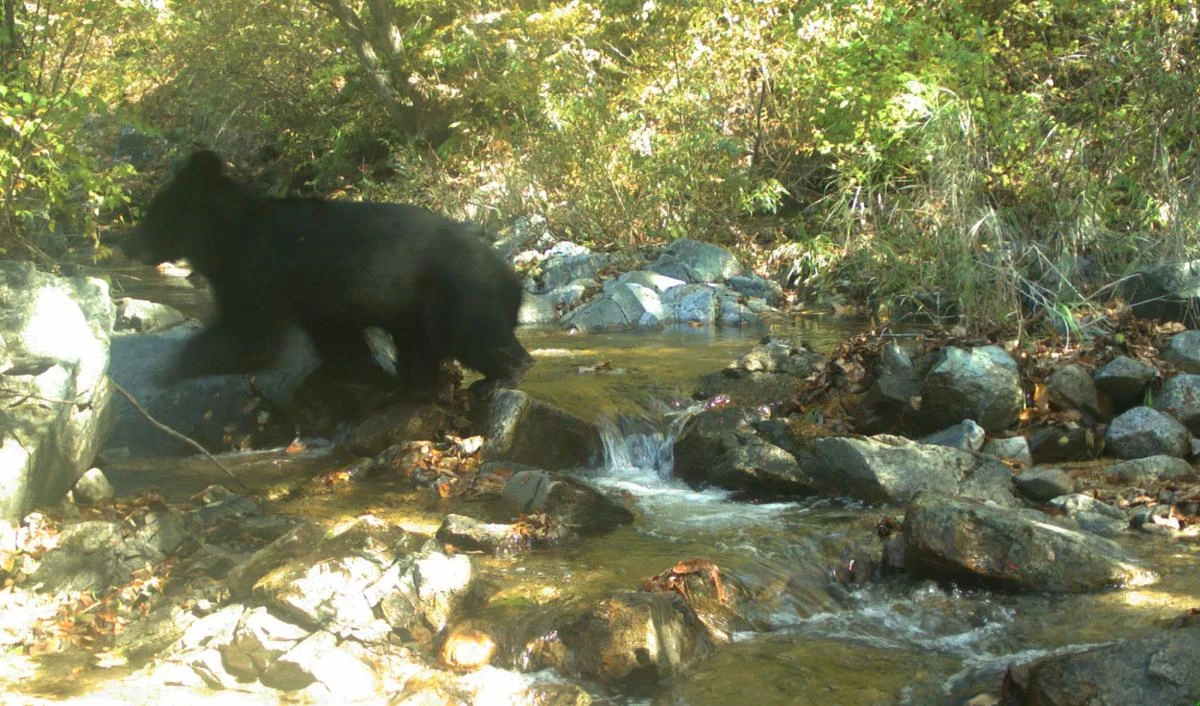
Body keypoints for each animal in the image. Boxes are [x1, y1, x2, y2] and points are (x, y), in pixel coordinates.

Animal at [124, 150, 532, 401]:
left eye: (152, 216)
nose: (127, 244)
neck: (225, 238)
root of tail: (513, 279)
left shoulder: (258, 272)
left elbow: (250, 338)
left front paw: (167, 370)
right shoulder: (316, 302)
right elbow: (336, 339)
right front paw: (351, 371)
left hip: (458, 292)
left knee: (469, 333)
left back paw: (501, 377)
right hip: (414, 307)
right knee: (422, 345)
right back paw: (412, 386)